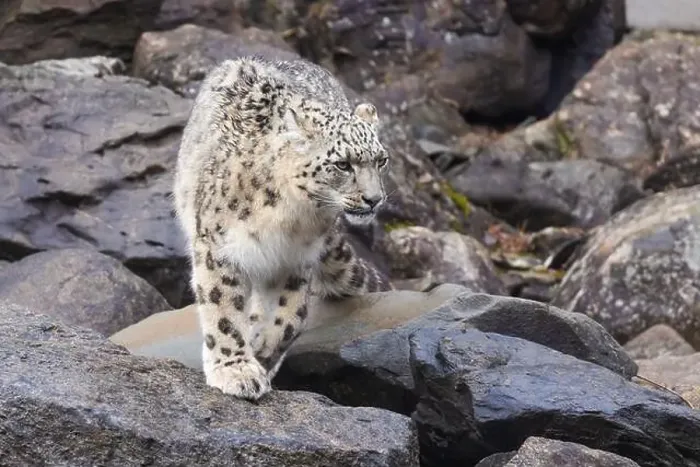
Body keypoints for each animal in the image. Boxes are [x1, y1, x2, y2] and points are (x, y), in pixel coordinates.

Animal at [173, 55, 392, 400]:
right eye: (343, 164)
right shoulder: (219, 248)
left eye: (381, 160)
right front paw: (237, 371)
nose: (374, 199)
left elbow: (293, 315)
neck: (292, 219)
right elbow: (223, 310)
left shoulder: (295, 259)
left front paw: (263, 351)